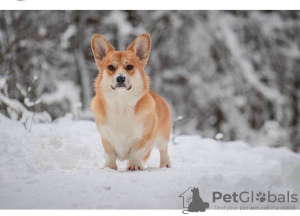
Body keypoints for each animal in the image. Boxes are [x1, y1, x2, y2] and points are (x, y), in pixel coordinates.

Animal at [90, 33, 171, 171]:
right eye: (111, 67)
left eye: (129, 67)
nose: (120, 78)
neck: (121, 103)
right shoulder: (106, 138)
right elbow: (110, 154)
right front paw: (109, 167)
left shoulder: (142, 137)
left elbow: (135, 152)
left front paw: (134, 165)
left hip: (163, 136)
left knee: (163, 149)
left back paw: (165, 164)